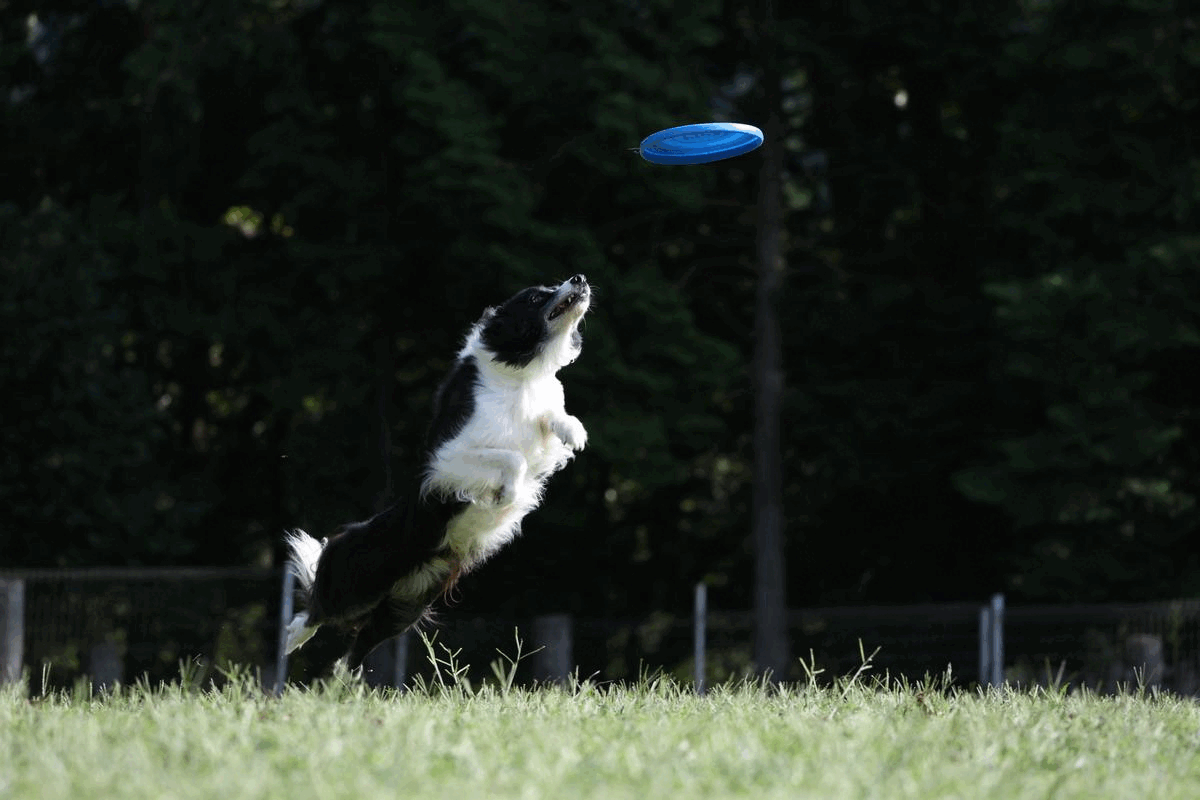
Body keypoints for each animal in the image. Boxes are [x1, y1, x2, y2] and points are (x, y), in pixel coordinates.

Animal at [283, 274, 591, 670]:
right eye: (536, 298)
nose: (579, 278)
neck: (521, 375)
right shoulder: (445, 460)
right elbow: (512, 459)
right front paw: (504, 495)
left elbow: (550, 417)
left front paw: (573, 431)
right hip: (358, 578)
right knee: (318, 610)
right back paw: (293, 639)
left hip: (405, 607)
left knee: (354, 651)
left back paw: (342, 680)